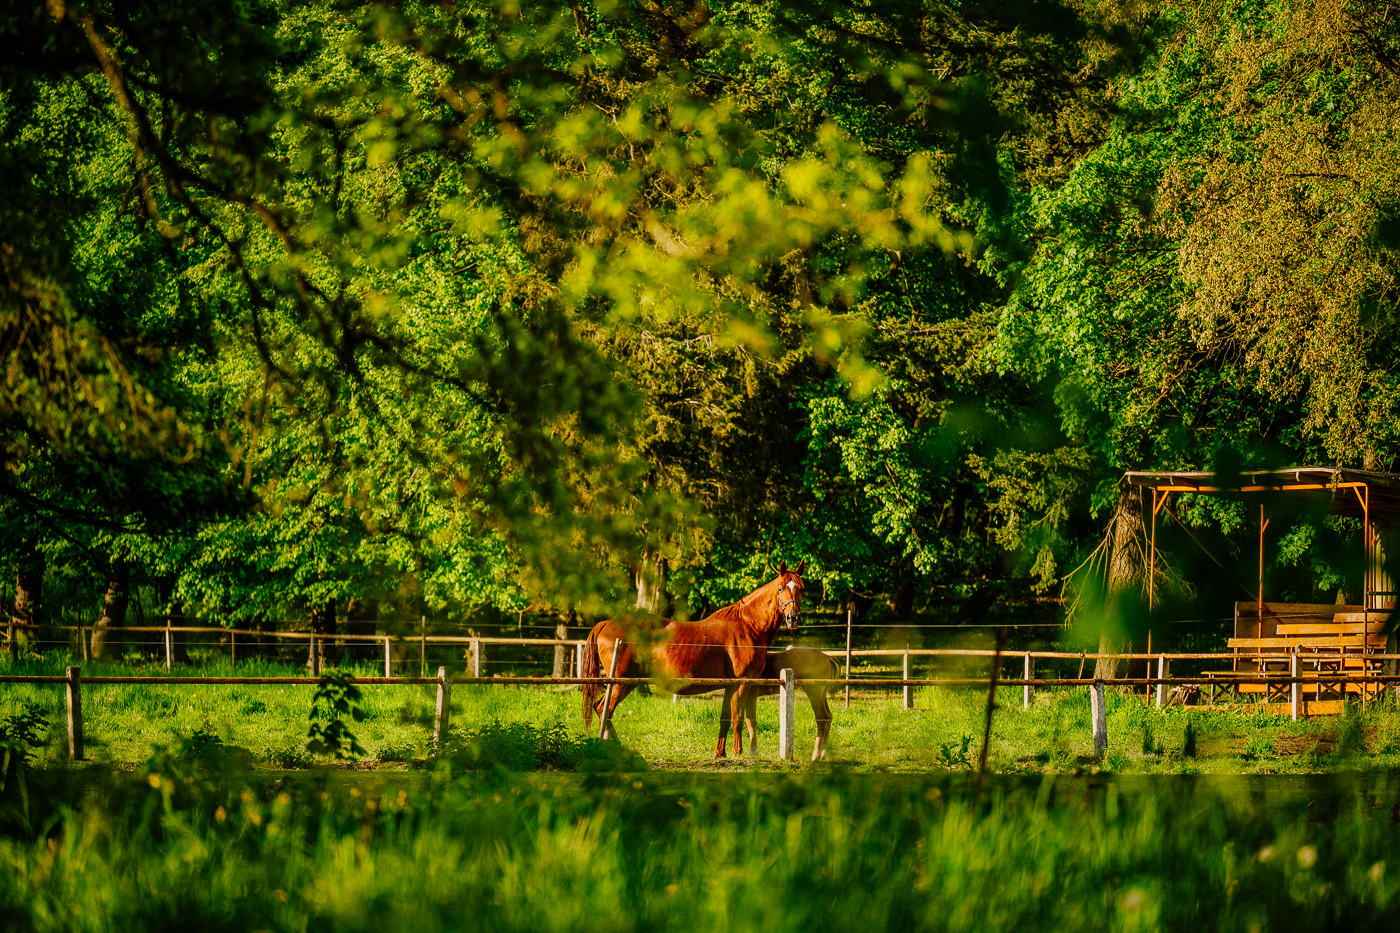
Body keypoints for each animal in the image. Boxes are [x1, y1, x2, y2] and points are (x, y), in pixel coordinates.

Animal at [582, 561, 805, 757]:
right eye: (781, 588)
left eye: (801, 589)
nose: (793, 618)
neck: (747, 626)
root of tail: (606, 623)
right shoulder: (742, 683)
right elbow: (737, 718)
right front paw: (738, 752)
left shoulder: (730, 685)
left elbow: (725, 718)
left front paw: (720, 753)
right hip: (620, 682)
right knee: (604, 709)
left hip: (626, 683)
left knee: (601, 709)